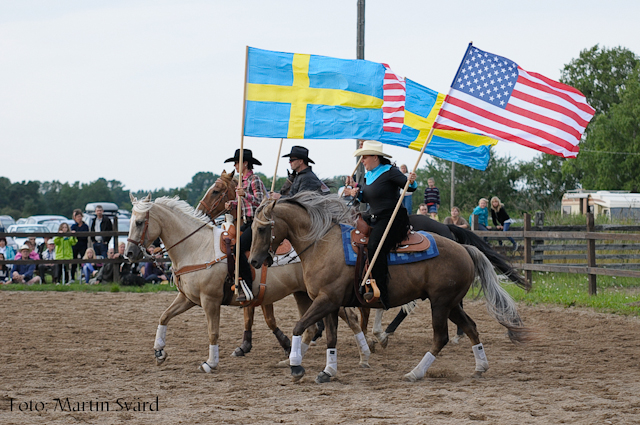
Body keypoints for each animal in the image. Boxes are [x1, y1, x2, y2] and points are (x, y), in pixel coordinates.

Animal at [124, 192, 370, 372]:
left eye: (139, 222)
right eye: (132, 222)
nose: (129, 253)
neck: (197, 247)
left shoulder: (210, 301)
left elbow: (213, 332)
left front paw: (210, 363)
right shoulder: (188, 298)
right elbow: (164, 316)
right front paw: (159, 352)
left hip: (325, 295)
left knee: (350, 318)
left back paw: (364, 355)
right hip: (304, 295)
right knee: (311, 327)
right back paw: (295, 358)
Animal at [200, 169, 370, 358]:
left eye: (215, 191)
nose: (200, 210)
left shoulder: (259, 290)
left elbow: (267, 319)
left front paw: (285, 342)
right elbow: (248, 317)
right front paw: (245, 345)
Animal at [250, 193, 528, 384]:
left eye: (263, 228)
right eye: (252, 228)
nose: (253, 261)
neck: (323, 244)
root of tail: (464, 248)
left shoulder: (327, 300)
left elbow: (299, 326)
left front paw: (296, 366)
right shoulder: (328, 303)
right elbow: (331, 337)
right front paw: (328, 370)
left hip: (440, 303)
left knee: (441, 337)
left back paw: (415, 372)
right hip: (450, 304)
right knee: (470, 327)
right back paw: (480, 366)